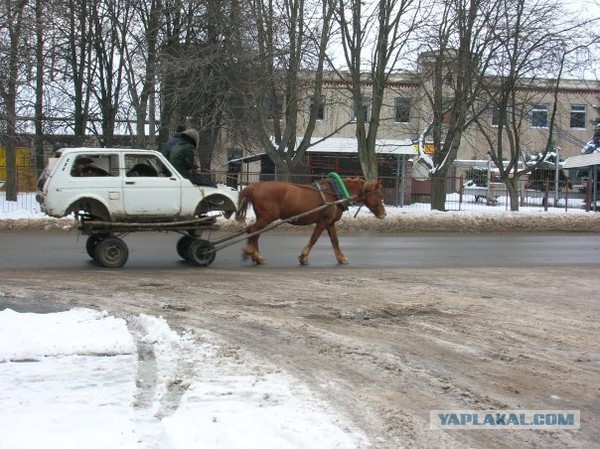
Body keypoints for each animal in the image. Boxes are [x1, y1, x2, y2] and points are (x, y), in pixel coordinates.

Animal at [234, 177, 384, 264]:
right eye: (377, 194)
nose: (384, 213)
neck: (335, 193)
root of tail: (257, 186)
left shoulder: (330, 223)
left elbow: (335, 241)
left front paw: (341, 258)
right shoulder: (323, 221)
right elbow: (314, 238)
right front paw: (304, 257)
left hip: (263, 218)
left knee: (255, 233)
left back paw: (256, 256)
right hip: (266, 218)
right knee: (253, 230)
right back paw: (253, 253)